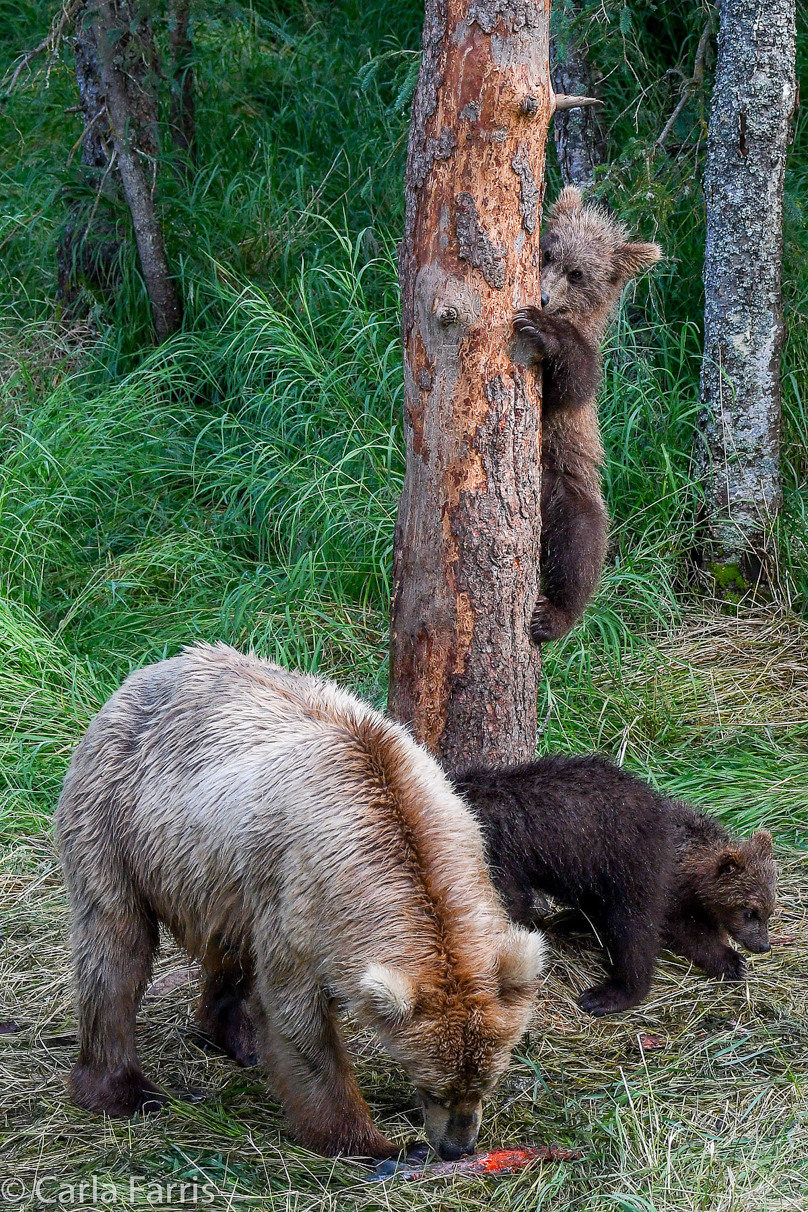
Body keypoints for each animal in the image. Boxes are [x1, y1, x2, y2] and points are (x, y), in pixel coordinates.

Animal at [56, 649, 547, 1158]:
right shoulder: (302, 899)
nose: (458, 1146)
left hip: (221, 877)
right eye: (434, 1087)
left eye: (485, 1082)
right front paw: (370, 1142)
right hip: (115, 823)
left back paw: (239, 1038)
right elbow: (301, 1021)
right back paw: (124, 1089)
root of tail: (148, 671)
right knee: (115, 952)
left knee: (229, 949)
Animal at [516, 186, 658, 644]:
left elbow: (573, 383)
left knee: (580, 544)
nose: (542, 298)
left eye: (577, 274)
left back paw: (552, 616)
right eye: (546, 253)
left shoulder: (583, 381)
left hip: (567, 485)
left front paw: (541, 327)